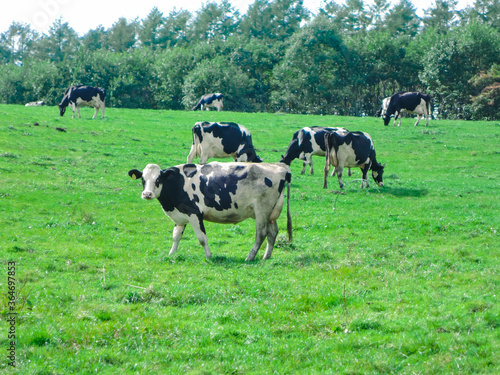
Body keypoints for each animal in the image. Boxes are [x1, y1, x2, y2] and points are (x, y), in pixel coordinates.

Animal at [129, 162, 292, 262]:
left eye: (158, 179)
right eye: (143, 179)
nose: (147, 194)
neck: (177, 183)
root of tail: (280, 167)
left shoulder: (194, 214)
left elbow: (202, 238)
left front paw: (209, 256)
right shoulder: (180, 216)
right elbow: (176, 237)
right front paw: (171, 254)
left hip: (261, 210)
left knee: (261, 234)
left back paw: (250, 257)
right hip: (271, 213)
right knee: (273, 232)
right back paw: (266, 257)